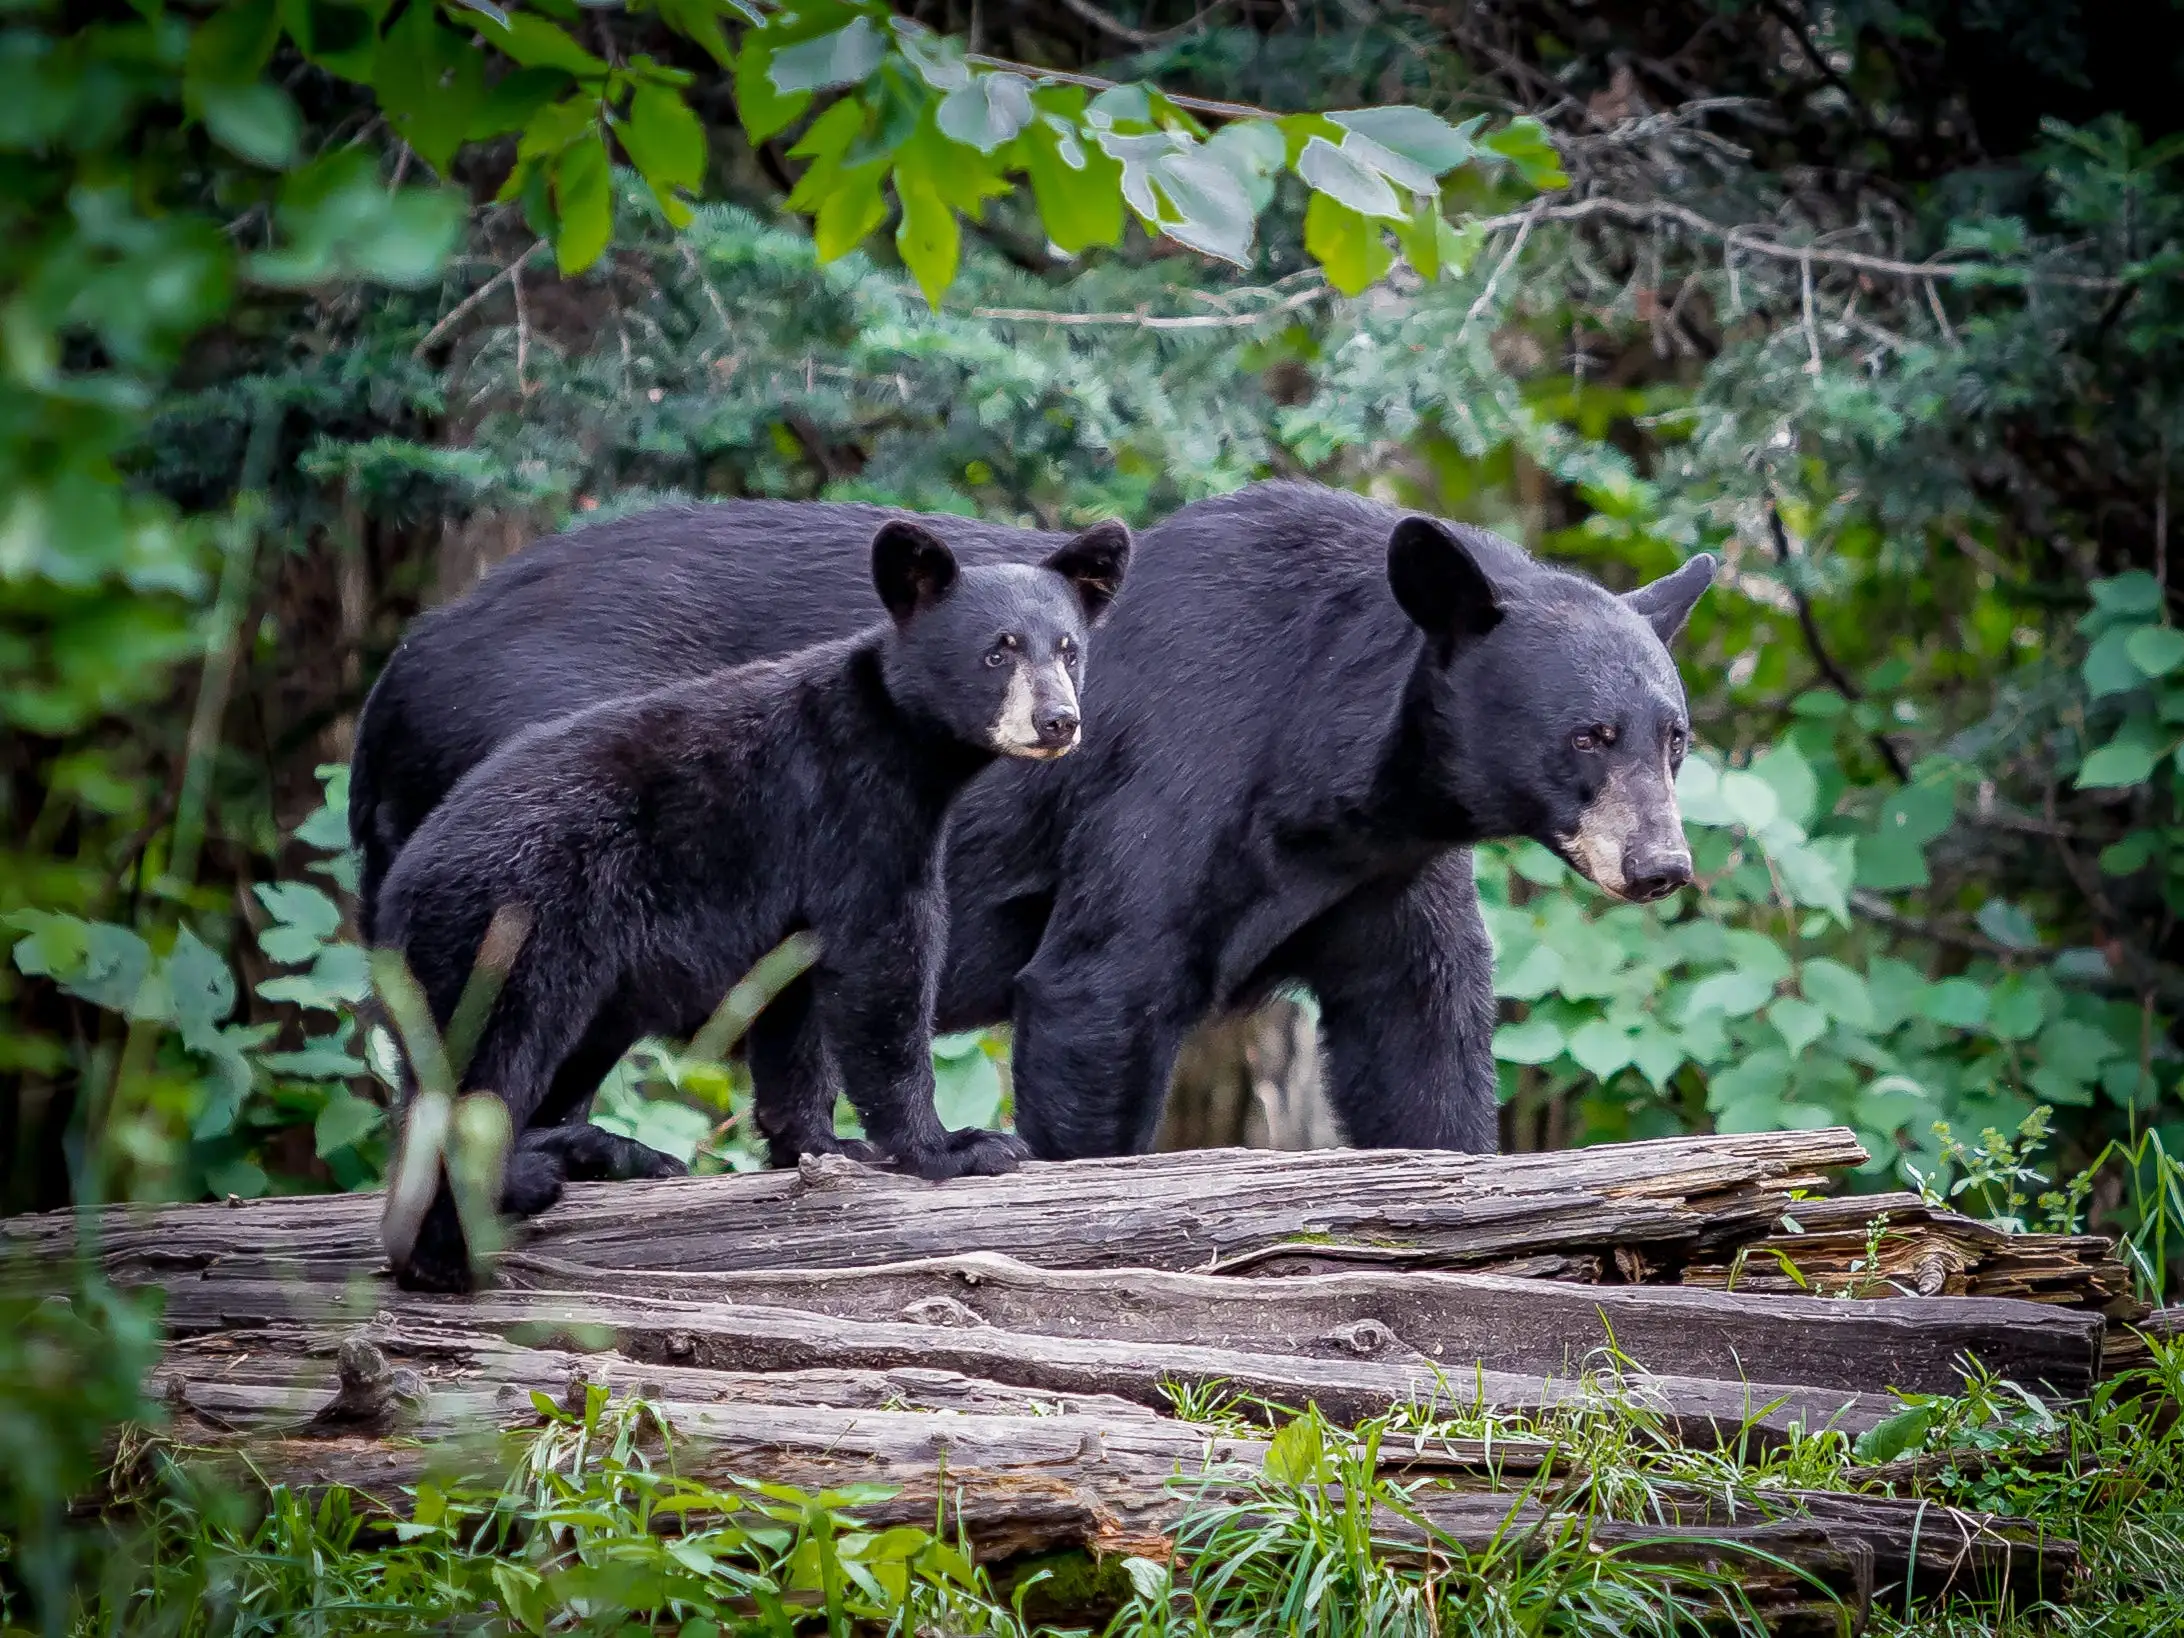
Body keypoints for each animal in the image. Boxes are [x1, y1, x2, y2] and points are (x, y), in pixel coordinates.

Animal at [352, 483, 1713, 1167]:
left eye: (1674, 735)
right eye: (1588, 735)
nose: (1663, 865)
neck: (1330, 761)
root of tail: (394, 676)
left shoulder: (1383, 867)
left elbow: (1422, 1033)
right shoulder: (1178, 775)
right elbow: (1097, 993)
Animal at [371, 515, 1131, 1291]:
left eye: (1068, 649)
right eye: (997, 651)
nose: (1058, 721)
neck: (903, 744)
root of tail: (399, 883)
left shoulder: (800, 883)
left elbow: (795, 1002)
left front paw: (824, 1147)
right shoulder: (851, 812)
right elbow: (883, 964)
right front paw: (955, 1147)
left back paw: (592, 1157)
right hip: (505, 929)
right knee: (479, 1072)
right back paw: (454, 1249)